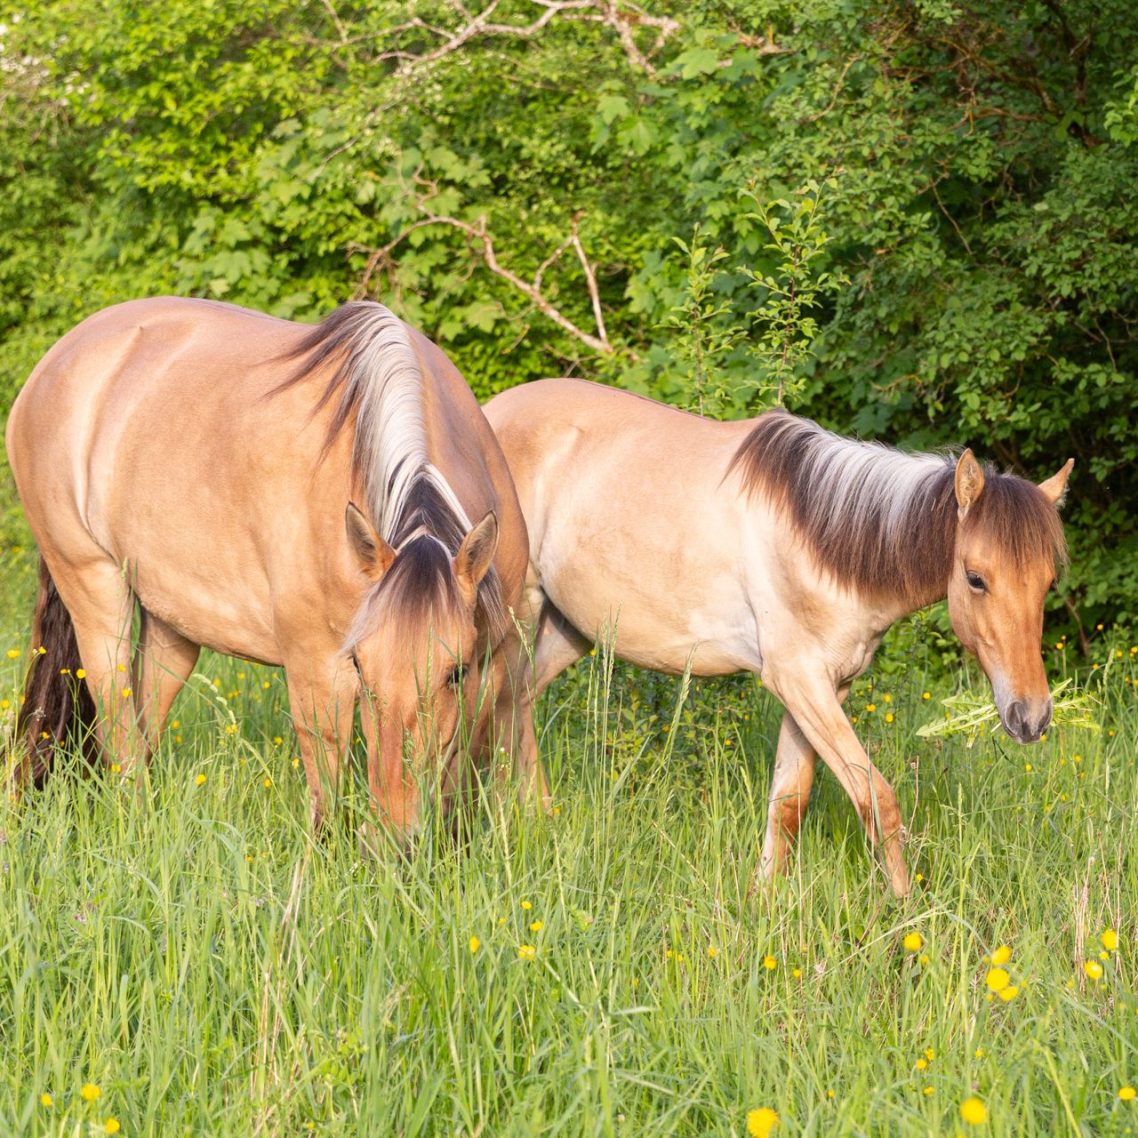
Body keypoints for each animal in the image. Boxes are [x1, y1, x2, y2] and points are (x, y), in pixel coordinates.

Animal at [6, 297, 545, 838]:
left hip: (171, 626)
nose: (396, 836)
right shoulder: (318, 670)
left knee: (144, 719)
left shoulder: (496, 663)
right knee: (118, 727)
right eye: (361, 668)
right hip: (95, 592)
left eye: (455, 673)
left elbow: (467, 769)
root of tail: (59, 359)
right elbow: (326, 793)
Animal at [483, 378, 1073, 897]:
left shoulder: (822, 690)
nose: (1031, 716)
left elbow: (789, 802)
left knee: (518, 705)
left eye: (1048, 582)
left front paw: (765, 901)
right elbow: (877, 800)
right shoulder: (800, 682)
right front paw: (905, 917)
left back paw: (536, 819)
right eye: (975, 578)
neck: (820, 541)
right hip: (513, 614)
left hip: (568, 630)